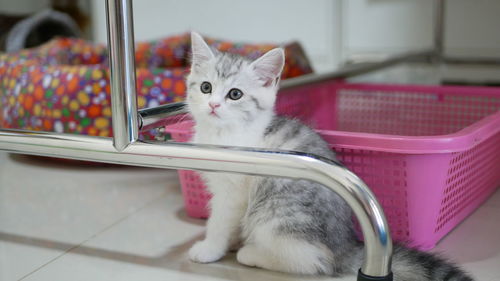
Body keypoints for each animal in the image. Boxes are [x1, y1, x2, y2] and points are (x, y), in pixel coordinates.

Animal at [185, 31, 472, 280]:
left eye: (235, 94)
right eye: (206, 87)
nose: (213, 105)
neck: (224, 133)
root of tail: (346, 245)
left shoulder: (233, 190)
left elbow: (220, 221)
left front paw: (210, 248)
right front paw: (229, 242)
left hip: (275, 215)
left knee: (314, 261)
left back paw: (253, 254)